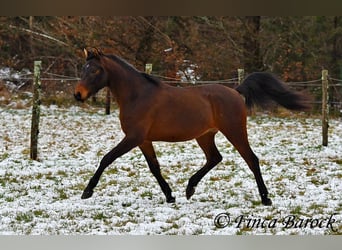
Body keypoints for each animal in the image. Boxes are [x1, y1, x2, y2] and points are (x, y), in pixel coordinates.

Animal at [75, 47, 310, 206]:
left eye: (95, 71)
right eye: (83, 69)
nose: (78, 94)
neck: (138, 95)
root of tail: (235, 91)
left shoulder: (133, 137)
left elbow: (107, 158)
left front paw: (87, 191)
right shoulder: (143, 140)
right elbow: (154, 167)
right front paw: (170, 195)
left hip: (234, 131)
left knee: (251, 159)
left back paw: (265, 198)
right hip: (204, 136)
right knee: (215, 158)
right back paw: (190, 188)